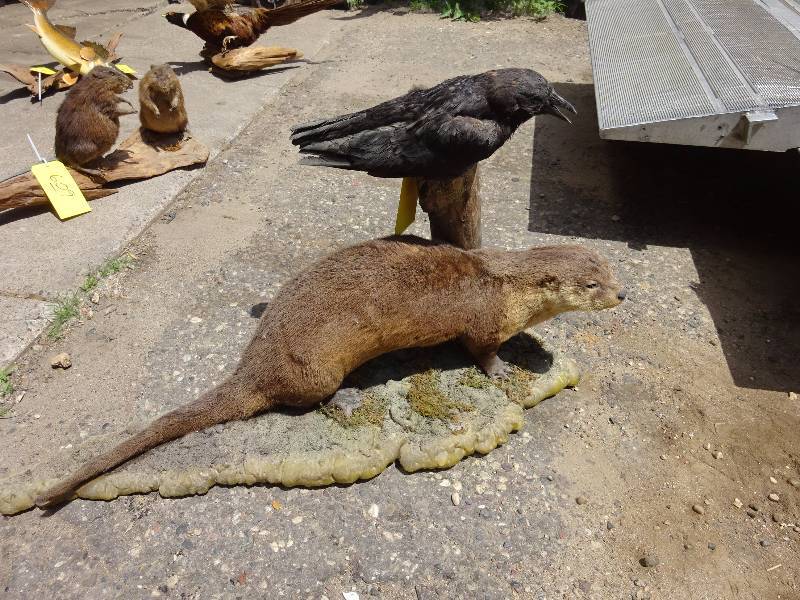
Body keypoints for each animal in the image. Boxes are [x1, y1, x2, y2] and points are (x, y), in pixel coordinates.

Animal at [35, 236, 625, 509]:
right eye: (591, 285)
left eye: (610, 271)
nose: (622, 295)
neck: (503, 284)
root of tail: (256, 364)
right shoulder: (482, 324)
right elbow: (480, 352)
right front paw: (502, 369)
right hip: (315, 368)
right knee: (306, 397)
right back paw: (344, 400)